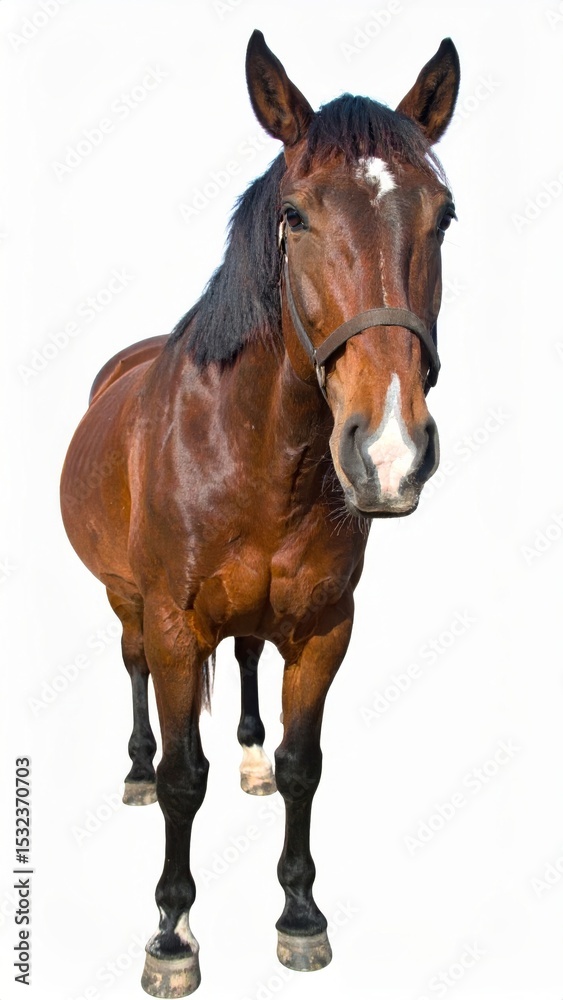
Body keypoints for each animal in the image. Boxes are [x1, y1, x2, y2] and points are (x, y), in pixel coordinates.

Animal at [60, 29, 460, 998]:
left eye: (442, 217)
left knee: (244, 662)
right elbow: (182, 780)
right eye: (295, 216)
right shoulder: (173, 624)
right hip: (126, 602)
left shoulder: (324, 627)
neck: (248, 447)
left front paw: (300, 914)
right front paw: (171, 934)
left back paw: (244, 760)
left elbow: (302, 764)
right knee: (132, 671)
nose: (388, 450)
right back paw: (133, 770)